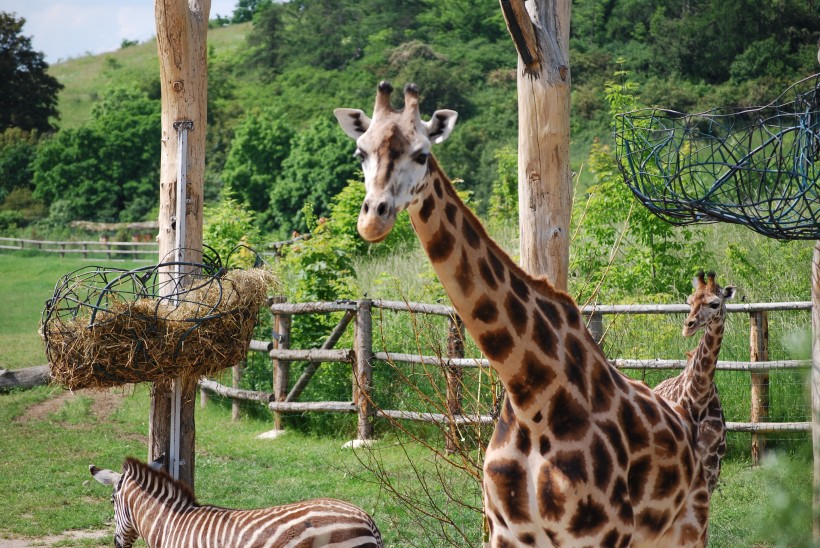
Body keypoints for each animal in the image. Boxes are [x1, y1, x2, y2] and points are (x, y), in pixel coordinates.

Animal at [336, 82, 716, 548]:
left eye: (422, 154)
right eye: (361, 151)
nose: (374, 219)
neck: (530, 392)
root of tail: (683, 421)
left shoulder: (600, 534)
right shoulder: (507, 531)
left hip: (689, 524)